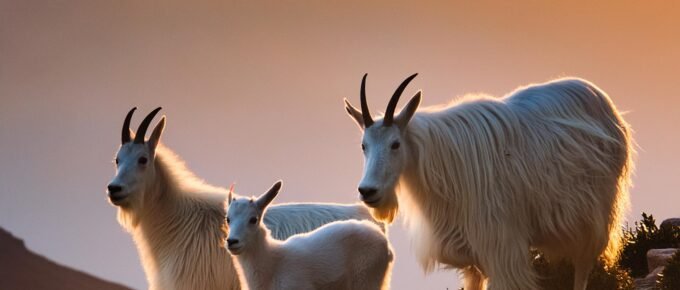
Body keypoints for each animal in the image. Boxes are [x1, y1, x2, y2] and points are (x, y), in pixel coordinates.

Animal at [346, 75, 632, 290]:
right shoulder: (473, 258)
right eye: (363, 145)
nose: (368, 191)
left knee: (582, 267)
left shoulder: (503, 250)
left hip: (595, 218)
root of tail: (604, 102)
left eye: (395, 144)